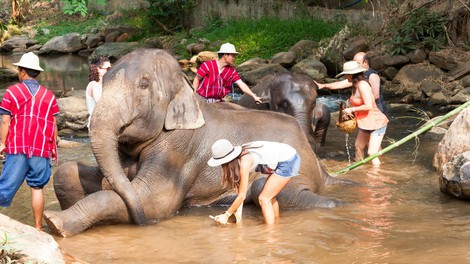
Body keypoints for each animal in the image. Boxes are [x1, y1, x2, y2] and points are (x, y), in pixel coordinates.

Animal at [44, 49, 342, 237]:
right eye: (102, 82)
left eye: (143, 85)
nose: (141, 224)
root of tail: (320, 167)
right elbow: (72, 173)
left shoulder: (178, 148)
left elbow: (154, 201)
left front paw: (55, 222)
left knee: (275, 193)